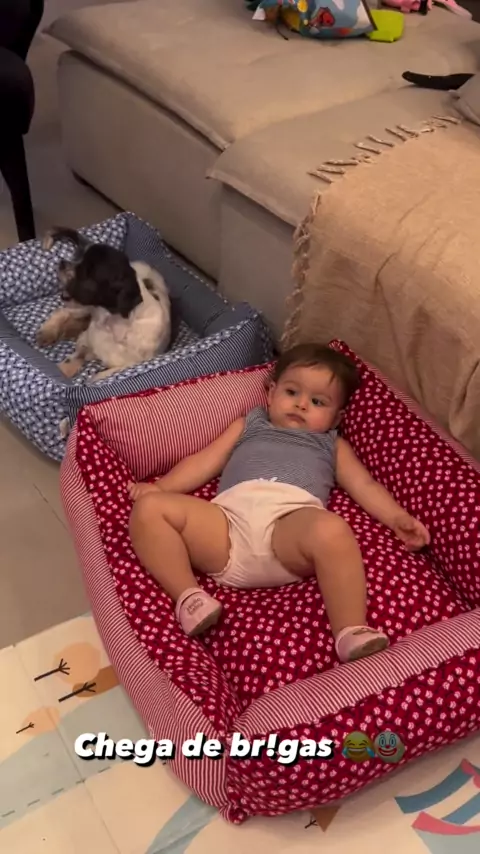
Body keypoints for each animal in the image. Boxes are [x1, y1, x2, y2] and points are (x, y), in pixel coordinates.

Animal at [36, 227, 172, 381]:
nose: (62, 263)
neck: (110, 326)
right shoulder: (86, 341)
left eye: (86, 272)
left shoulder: (130, 363)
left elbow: (97, 377)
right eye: (79, 258)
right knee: (62, 312)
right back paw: (48, 332)